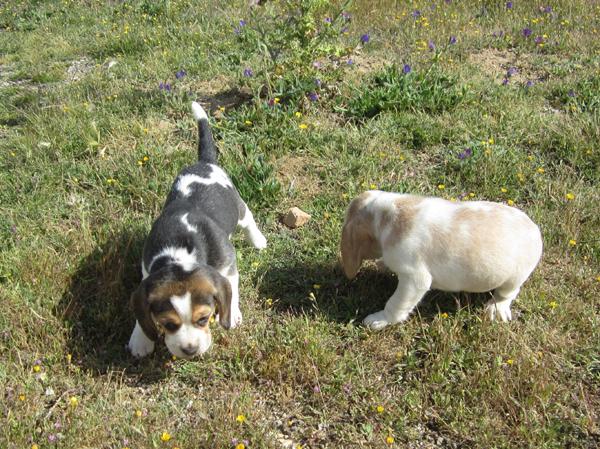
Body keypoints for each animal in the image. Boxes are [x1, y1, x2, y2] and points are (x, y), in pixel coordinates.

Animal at [129, 100, 268, 356]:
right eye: (168, 324)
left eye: (203, 319)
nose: (190, 350)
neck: (178, 253)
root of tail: (205, 163)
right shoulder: (146, 269)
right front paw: (141, 339)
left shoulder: (227, 264)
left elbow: (232, 289)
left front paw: (232, 316)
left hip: (238, 208)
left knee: (248, 218)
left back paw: (258, 240)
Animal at [342, 190, 544, 328]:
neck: (388, 215)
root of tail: (535, 229)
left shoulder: (415, 279)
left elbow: (395, 304)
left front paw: (380, 320)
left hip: (513, 280)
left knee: (507, 294)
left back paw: (497, 308)